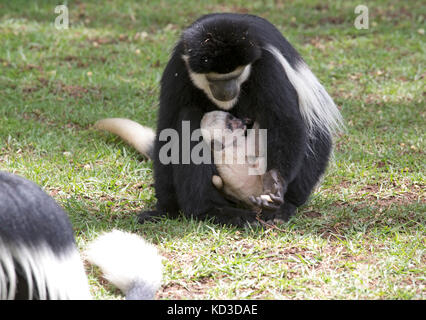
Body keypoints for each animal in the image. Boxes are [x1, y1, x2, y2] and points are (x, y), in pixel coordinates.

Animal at [95, 13, 342, 228]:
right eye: (214, 78)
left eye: (235, 75)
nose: (227, 91)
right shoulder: (179, 67)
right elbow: (168, 128)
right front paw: (165, 210)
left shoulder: (267, 66)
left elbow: (284, 121)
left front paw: (274, 183)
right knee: (188, 117)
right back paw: (212, 211)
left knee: (314, 140)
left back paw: (280, 209)